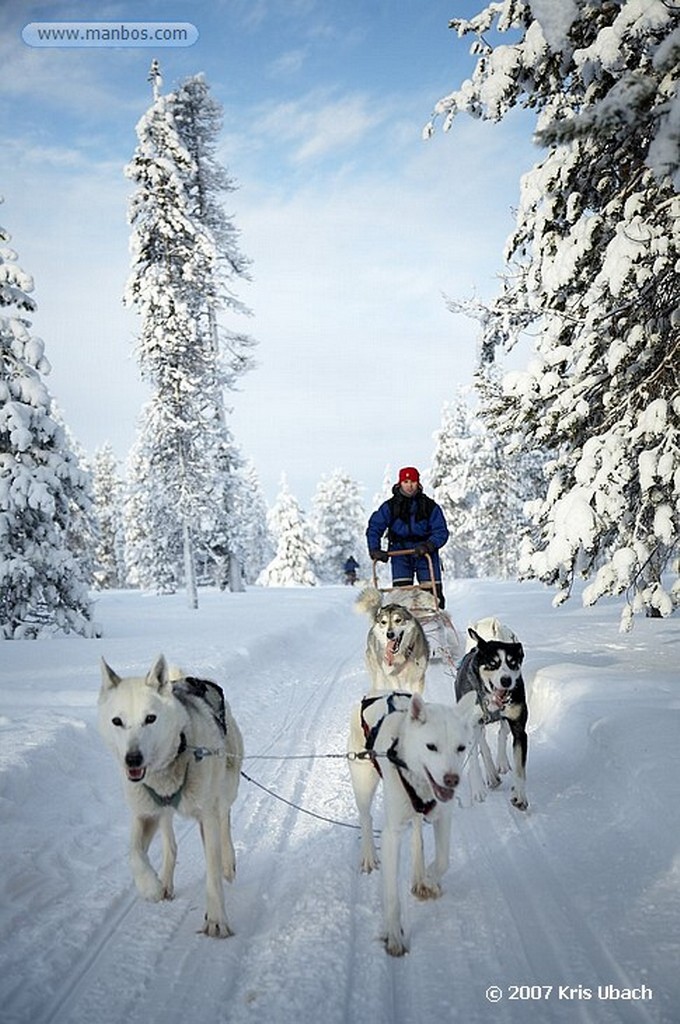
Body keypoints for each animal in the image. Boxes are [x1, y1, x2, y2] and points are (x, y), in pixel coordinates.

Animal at [98, 655, 241, 937]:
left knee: (224, 819)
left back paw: (228, 862)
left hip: (226, 786)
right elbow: (133, 853)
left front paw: (216, 919)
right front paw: (150, 887)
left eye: (150, 718)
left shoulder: (207, 815)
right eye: (117, 721)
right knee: (171, 845)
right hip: (162, 813)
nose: (133, 759)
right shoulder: (144, 814)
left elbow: (212, 872)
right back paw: (164, 881)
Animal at [350, 688, 477, 958]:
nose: (452, 780)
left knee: (418, 834)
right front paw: (394, 937)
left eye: (461, 748)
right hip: (363, 783)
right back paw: (369, 855)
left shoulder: (443, 817)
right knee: (366, 818)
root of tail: (376, 693)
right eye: (431, 747)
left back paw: (420, 875)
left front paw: (428, 878)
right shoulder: (392, 834)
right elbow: (391, 896)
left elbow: (443, 860)